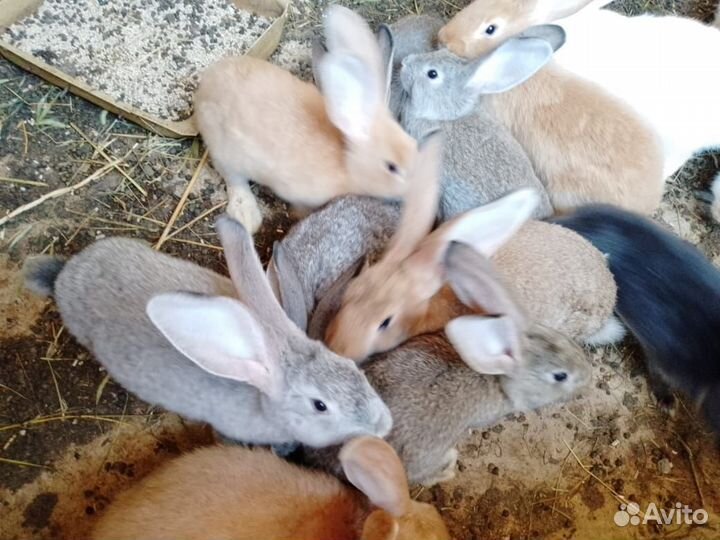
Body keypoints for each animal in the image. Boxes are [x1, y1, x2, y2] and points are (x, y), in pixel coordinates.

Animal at [194, 5, 416, 233]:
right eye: (391, 167)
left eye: (414, 144)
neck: (346, 160)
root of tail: (205, 85)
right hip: (226, 152)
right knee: (233, 179)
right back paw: (246, 216)